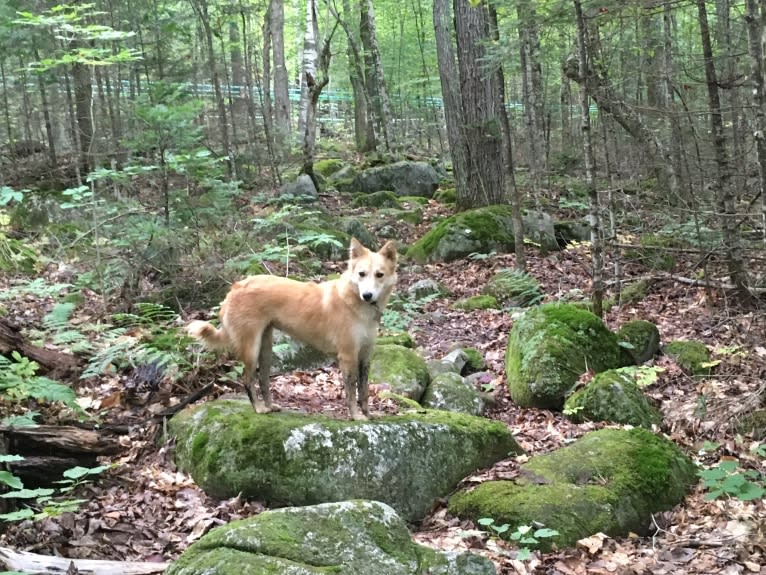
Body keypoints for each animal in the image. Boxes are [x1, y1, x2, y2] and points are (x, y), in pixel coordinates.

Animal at [189, 236, 400, 420]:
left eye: (379, 275)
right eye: (361, 274)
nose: (367, 295)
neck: (356, 304)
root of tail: (235, 287)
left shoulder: (365, 356)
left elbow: (363, 391)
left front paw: (368, 414)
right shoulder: (348, 356)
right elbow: (351, 391)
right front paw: (356, 416)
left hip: (265, 349)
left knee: (263, 379)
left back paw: (269, 405)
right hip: (251, 348)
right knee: (247, 380)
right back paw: (259, 408)